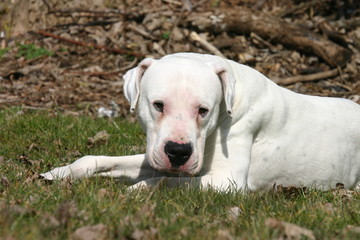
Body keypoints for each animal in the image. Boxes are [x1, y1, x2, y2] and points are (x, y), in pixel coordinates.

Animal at [40, 52, 360, 191]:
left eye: (203, 110)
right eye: (158, 105)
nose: (178, 152)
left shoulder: (226, 182)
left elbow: (162, 181)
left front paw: (133, 191)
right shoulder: (154, 155)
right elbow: (99, 159)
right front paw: (60, 172)